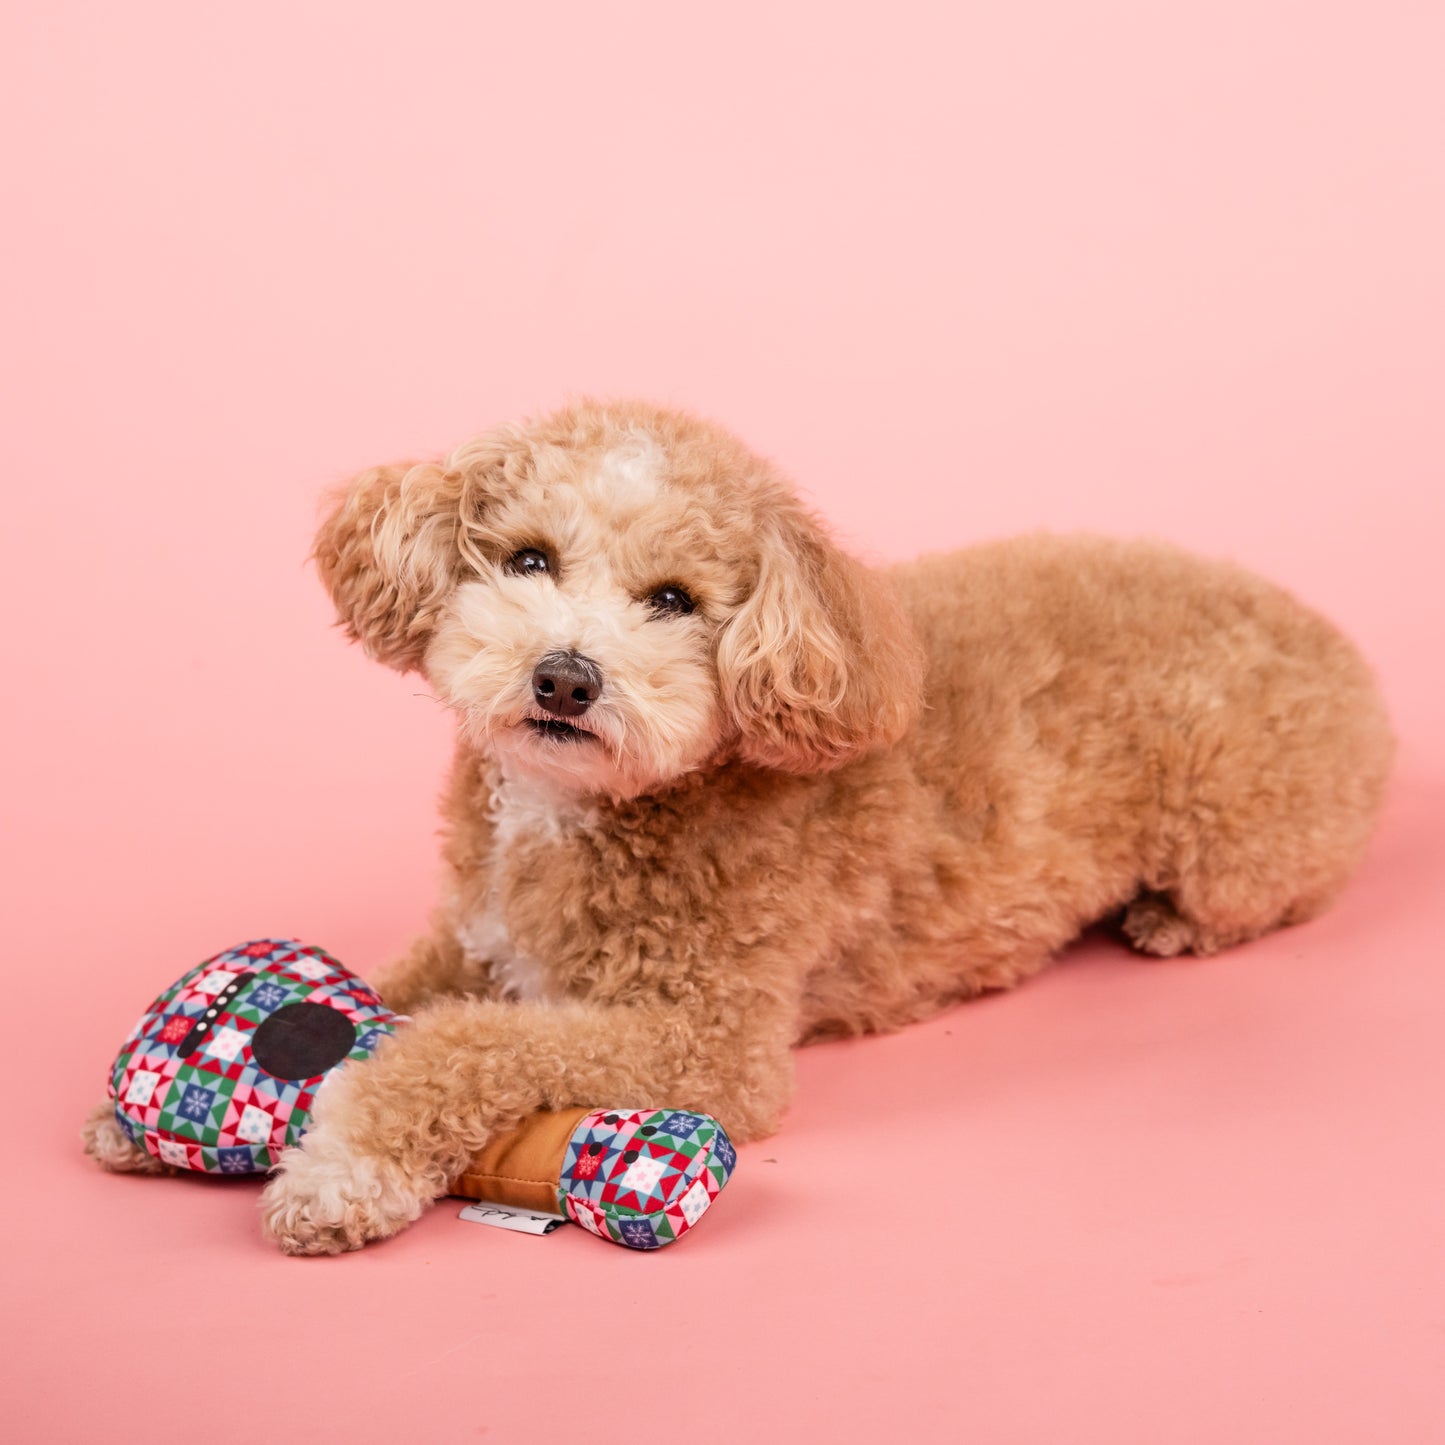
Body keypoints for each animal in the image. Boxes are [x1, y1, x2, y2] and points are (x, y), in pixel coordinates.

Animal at [79, 398, 1387, 1254]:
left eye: (673, 600)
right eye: (527, 559)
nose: (565, 677)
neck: (588, 809)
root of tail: (1335, 646)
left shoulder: (704, 1040)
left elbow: (462, 1044)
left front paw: (343, 1166)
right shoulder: (473, 935)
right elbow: (393, 991)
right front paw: (148, 1108)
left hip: (1235, 839)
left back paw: (1164, 921)